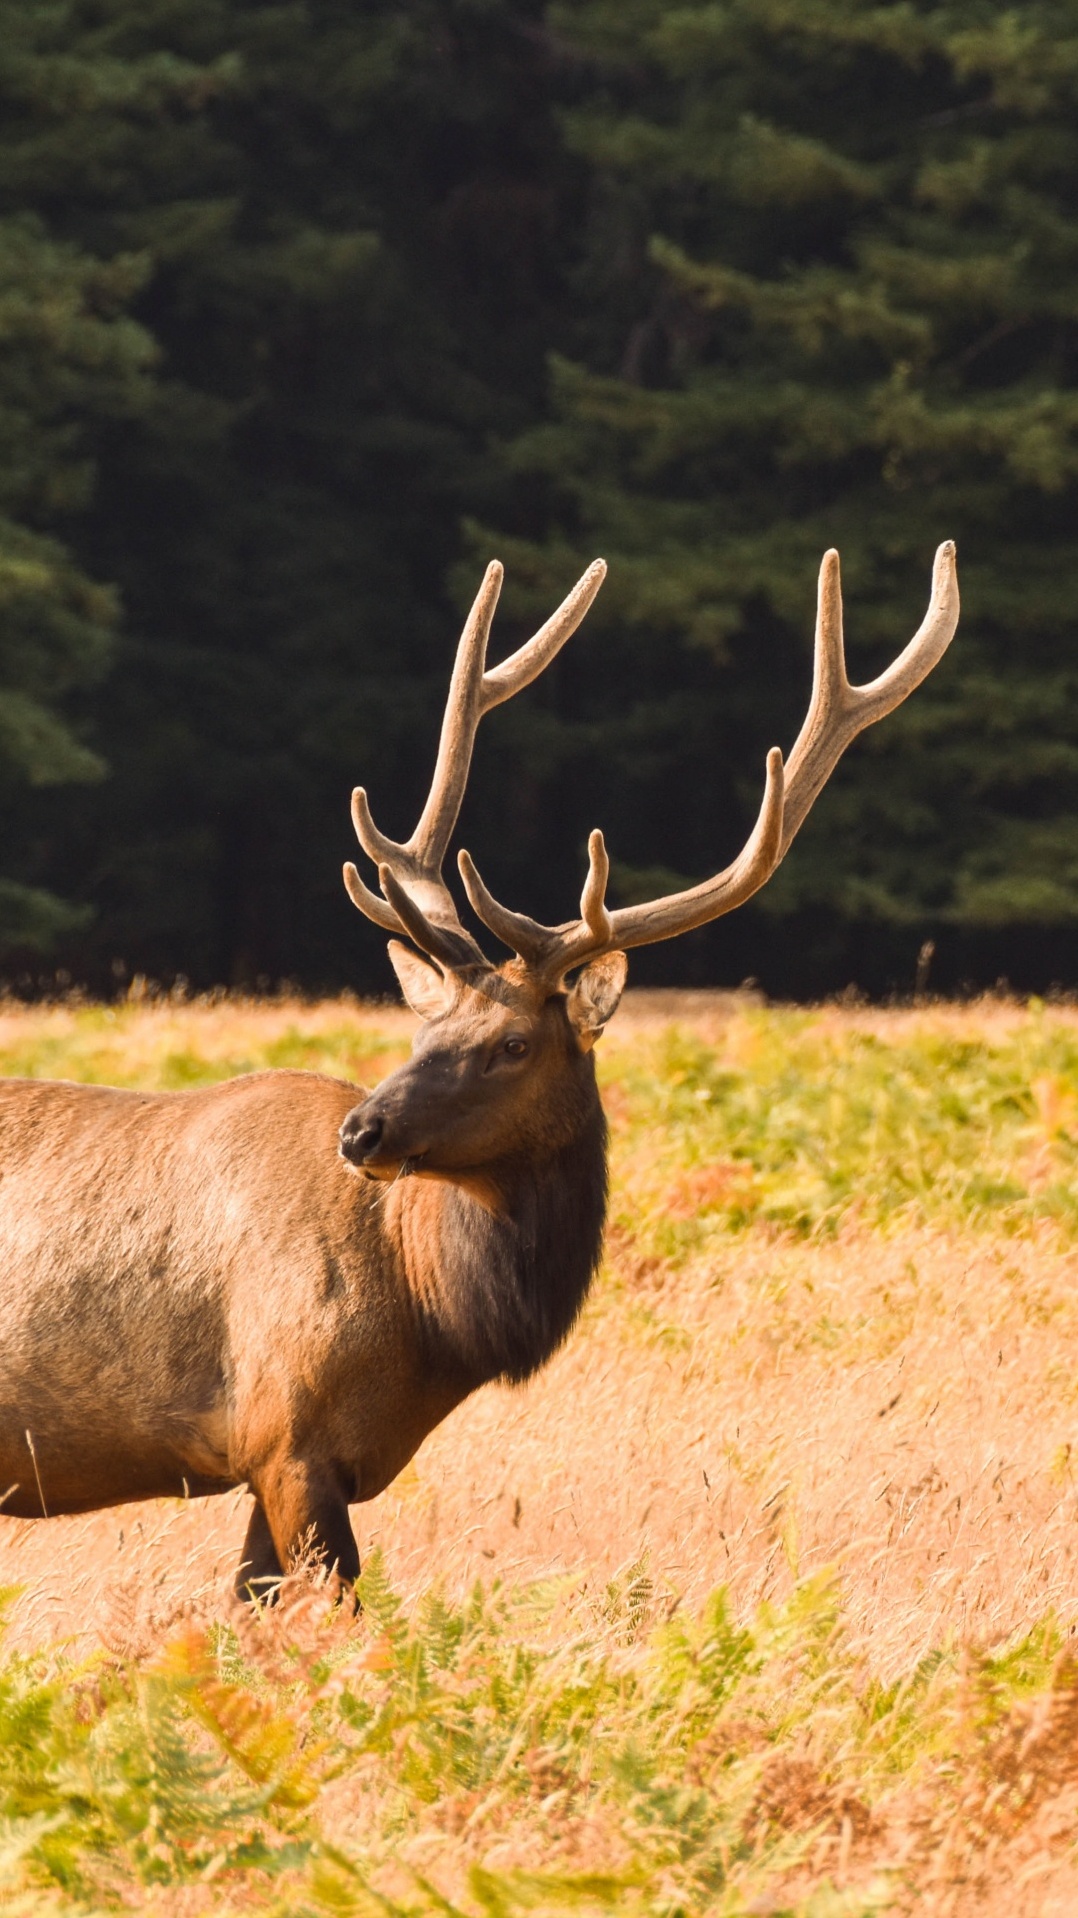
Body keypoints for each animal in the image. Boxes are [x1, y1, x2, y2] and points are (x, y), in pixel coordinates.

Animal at [0, 548, 955, 1595]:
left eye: (511, 1044)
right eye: (428, 1028)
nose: (362, 1133)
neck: (429, 1315)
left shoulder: (290, 1462)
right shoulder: (283, 1433)